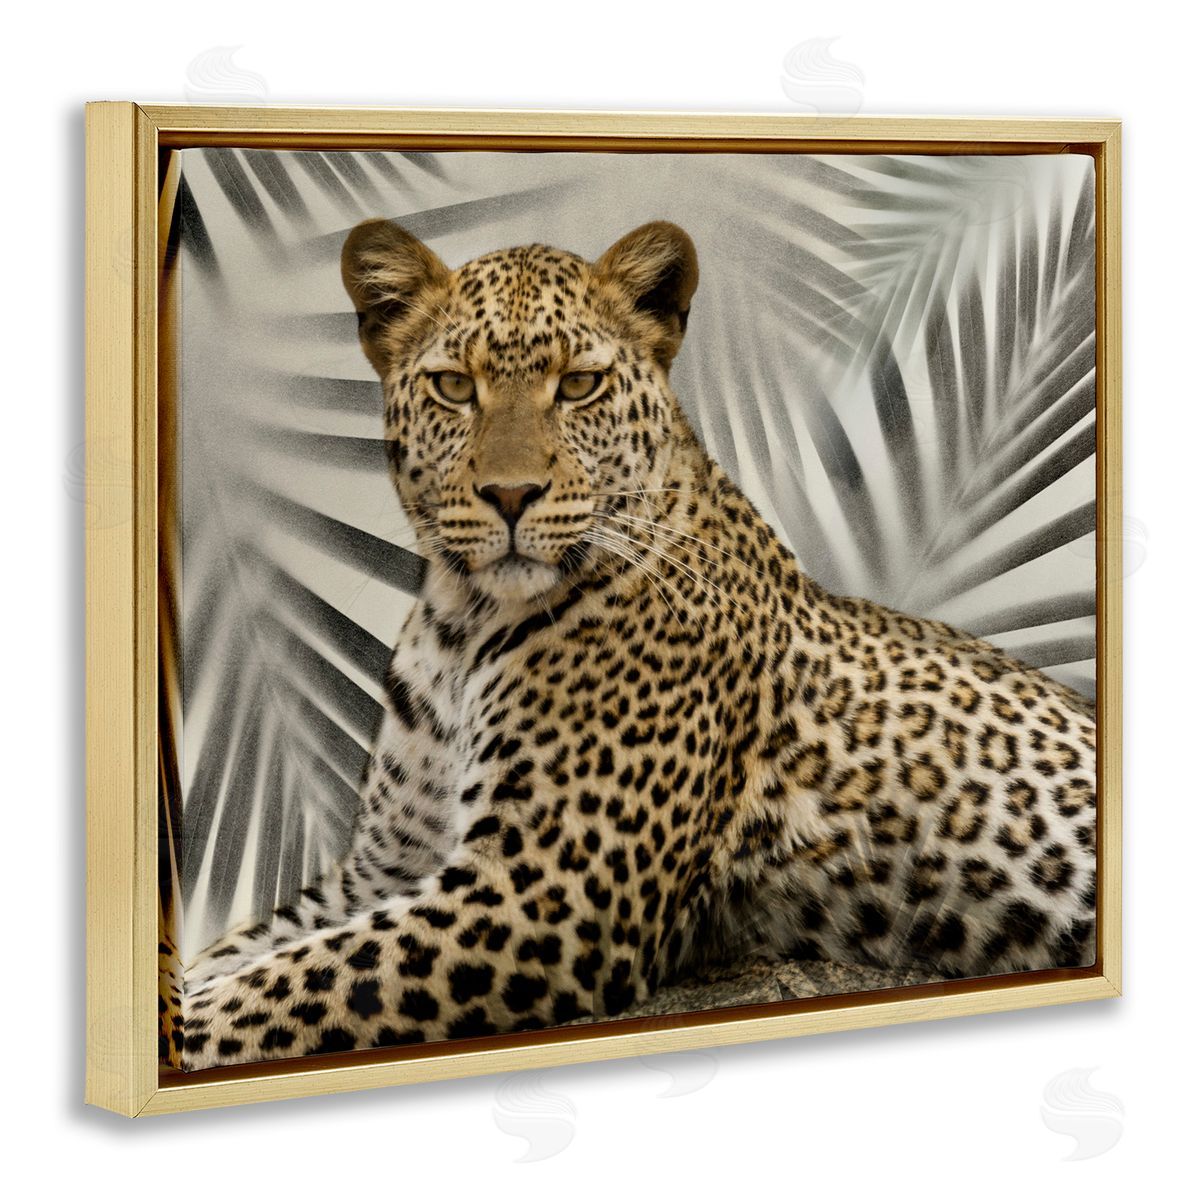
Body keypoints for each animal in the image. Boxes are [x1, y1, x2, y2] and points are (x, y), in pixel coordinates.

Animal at [163, 219, 1097, 1071]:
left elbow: (272, 992)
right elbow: (240, 957)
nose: (510, 495)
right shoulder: (384, 869)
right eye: (454, 387)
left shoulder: (542, 892)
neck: (463, 623)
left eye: (578, 385)